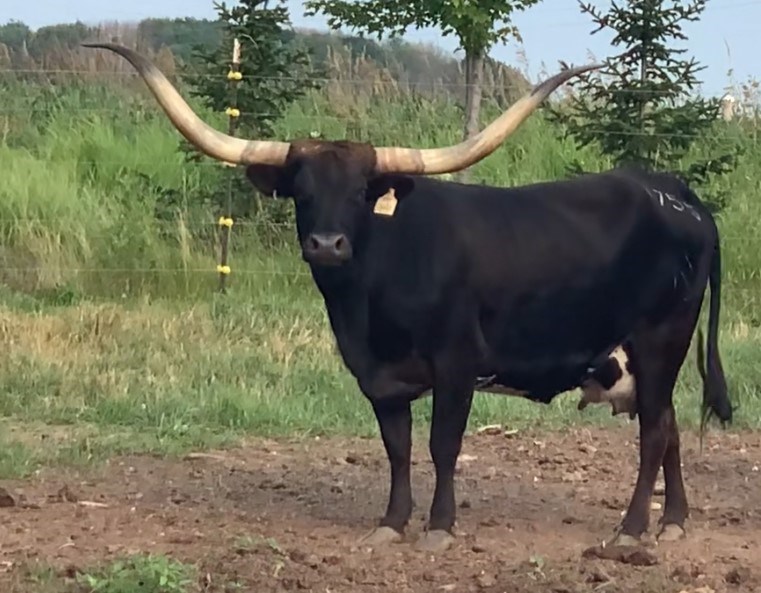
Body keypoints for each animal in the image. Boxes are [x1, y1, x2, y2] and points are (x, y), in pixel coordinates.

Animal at [84, 43, 733, 553]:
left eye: (361, 193)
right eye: (301, 191)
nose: (326, 244)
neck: (372, 299)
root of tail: (674, 191)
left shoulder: (457, 364)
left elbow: (443, 444)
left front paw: (439, 528)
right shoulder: (378, 377)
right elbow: (396, 449)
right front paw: (392, 523)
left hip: (661, 339)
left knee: (654, 432)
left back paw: (630, 530)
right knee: (669, 426)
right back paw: (671, 523)